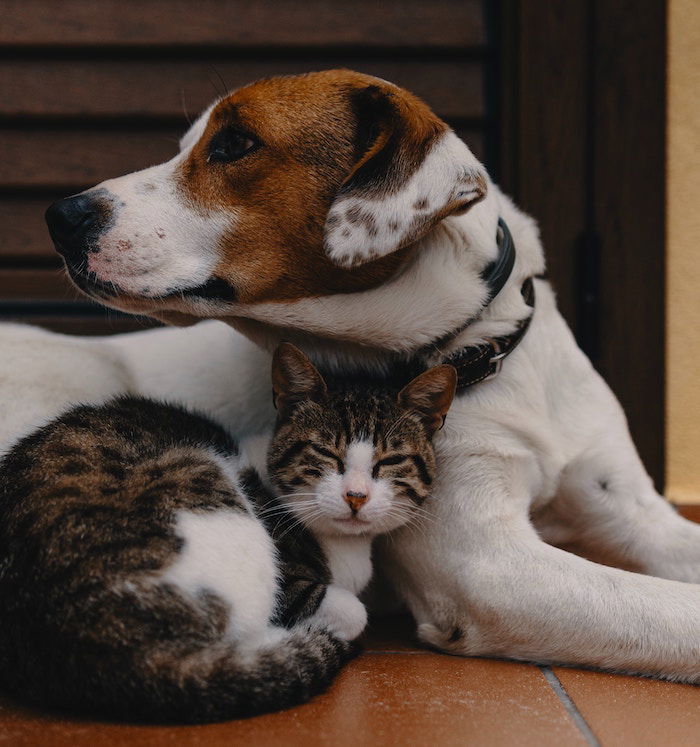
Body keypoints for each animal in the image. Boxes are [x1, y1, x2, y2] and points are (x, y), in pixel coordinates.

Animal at [0, 344, 456, 724]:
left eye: (391, 460)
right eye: (325, 453)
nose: (356, 496)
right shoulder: (292, 581)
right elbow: (351, 611)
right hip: (208, 495)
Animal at [5, 70, 700, 684]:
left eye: (234, 143)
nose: (60, 215)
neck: (481, 348)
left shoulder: (631, 507)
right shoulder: (486, 564)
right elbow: (671, 610)